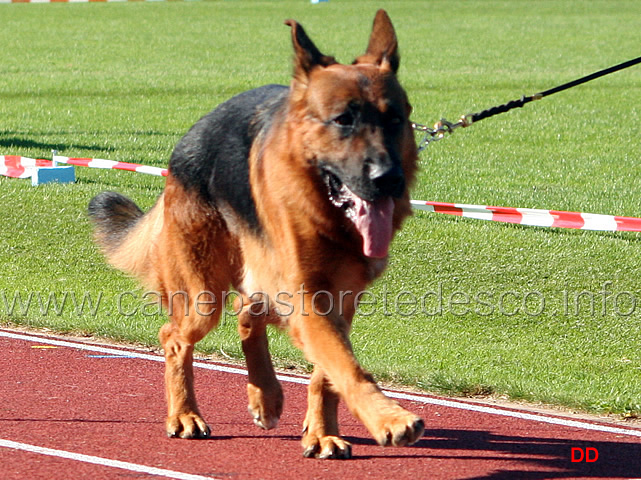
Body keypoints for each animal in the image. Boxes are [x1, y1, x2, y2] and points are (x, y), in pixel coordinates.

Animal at [89, 10, 420, 458]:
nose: (389, 180)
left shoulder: (340, 299)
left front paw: (322, 431)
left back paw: (265, 394)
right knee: (175, 336)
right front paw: (388, 418)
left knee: (247, 311)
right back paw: (185, 413)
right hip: (203, 296)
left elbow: (328, 372)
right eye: (343, 120)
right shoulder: (307, 296)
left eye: (395, 120)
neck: (329, 216)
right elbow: (344, 365)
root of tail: (188, 140)